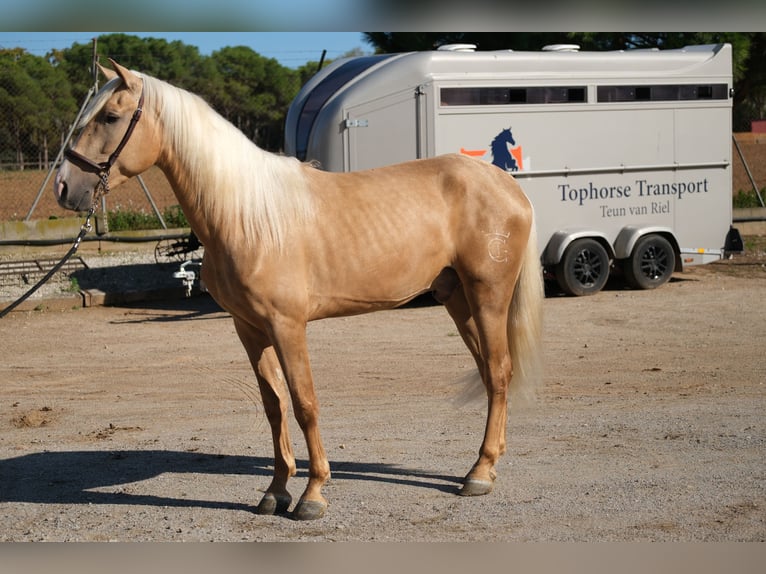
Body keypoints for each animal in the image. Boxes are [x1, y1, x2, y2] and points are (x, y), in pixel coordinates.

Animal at [54, 60, 544, 524]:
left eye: (111, 116)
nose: (63, 187)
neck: (245, 213)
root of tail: (507, 185)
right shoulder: (249, 329)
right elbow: (274, 406)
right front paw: (275, 492)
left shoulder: (287, 326)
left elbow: (305, 402)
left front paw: (312, 495)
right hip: (456, 298)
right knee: (489, 374)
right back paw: (486, 467)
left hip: (487, 296)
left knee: (499, 371)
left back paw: (479, 473)